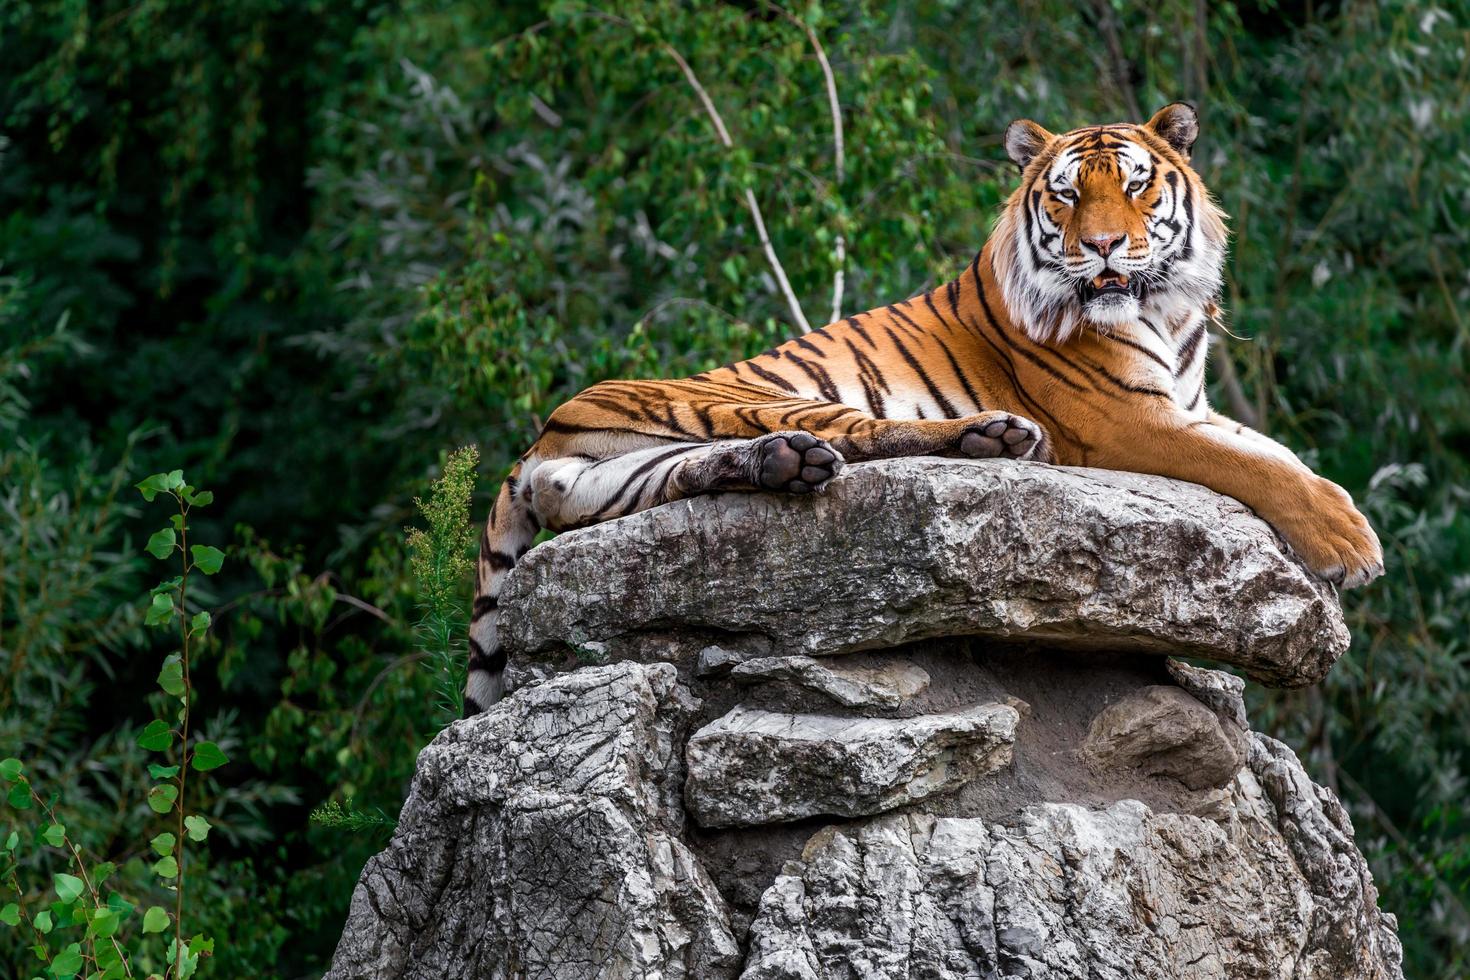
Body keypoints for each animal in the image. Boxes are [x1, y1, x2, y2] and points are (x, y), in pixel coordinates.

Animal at [464, 101, 1381, 714]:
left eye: (1135, 184)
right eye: (1065, 196)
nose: (1103, 247)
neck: (1165, 307)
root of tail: (543, 433)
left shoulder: (1190, 402)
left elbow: (1279, 453)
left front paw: (1343, 517)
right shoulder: (1131, 421)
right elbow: (1254, 465)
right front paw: (1352, 544)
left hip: (627, 475)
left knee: (707, 471)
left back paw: (787, 464)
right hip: (755, 396)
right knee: (878, 435)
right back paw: (993, 439)